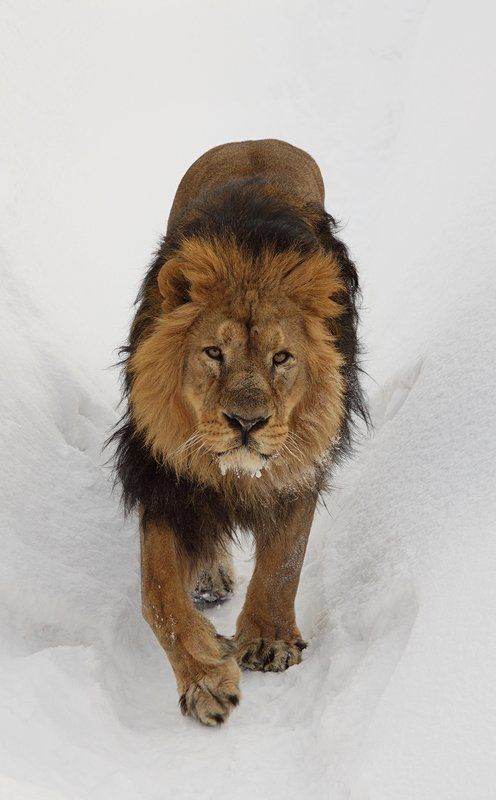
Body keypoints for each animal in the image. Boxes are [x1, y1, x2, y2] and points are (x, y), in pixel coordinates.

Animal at [112, 139, 366, 726]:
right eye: (213, 353)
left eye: (282, 358)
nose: (247, 422)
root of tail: (258, 140)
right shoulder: (164, 479)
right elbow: (157, 594)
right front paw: (206, 678)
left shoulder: (299, 461)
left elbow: (284, 559)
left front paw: (269, 641)